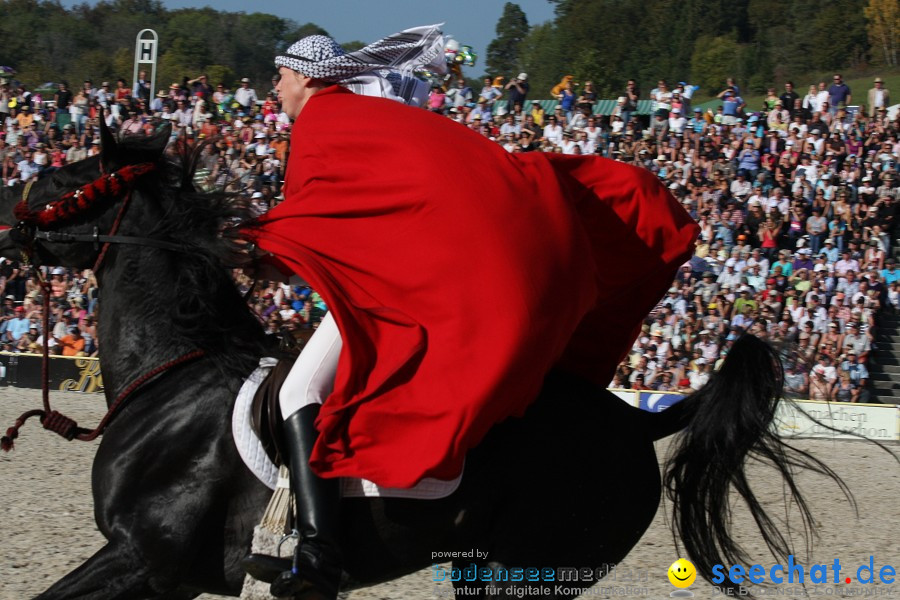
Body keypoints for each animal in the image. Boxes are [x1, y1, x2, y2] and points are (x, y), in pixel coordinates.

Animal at [0, 123, 844, 600]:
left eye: (69, 177)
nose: (10, 207)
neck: (175, 374)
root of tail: (632, 423)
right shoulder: (165, 580)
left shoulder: (144, 558)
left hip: (524, 573)